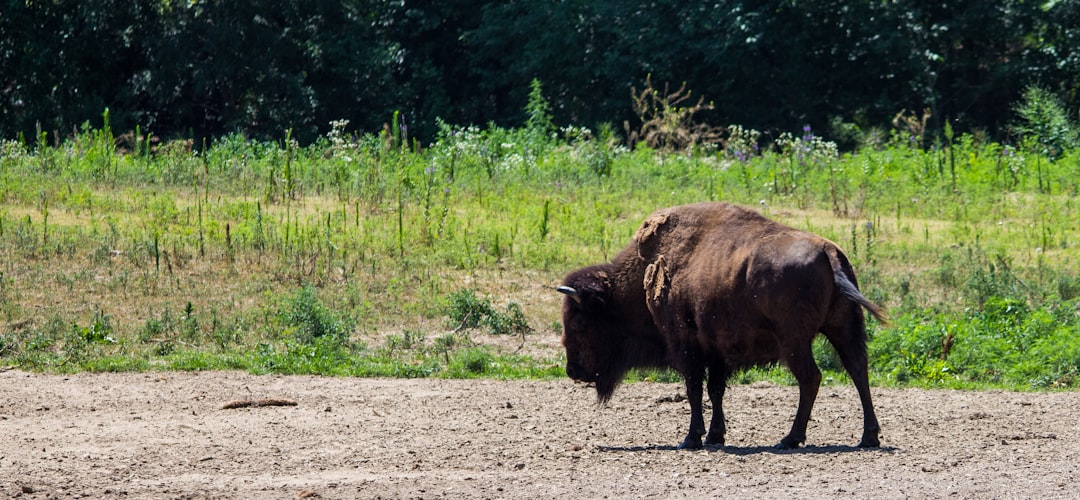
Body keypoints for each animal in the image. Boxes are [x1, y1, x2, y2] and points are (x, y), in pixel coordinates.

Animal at [557, 203, 885, 449]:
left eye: (578, 322)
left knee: (811, 378)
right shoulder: (716, 350)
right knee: (858, 369)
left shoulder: (685, 345)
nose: (572, 370)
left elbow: (694, 389)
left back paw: (790, 439)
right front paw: (716, 435)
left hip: (794, 341)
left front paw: (691, 438)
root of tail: (828, 251)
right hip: (843, 328)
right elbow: (716, 390)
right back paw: (868, 437)